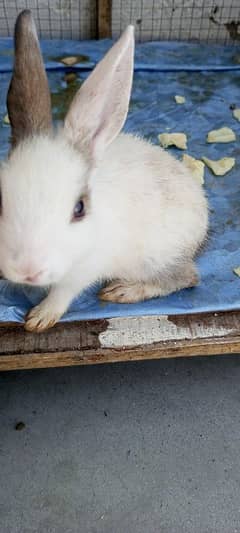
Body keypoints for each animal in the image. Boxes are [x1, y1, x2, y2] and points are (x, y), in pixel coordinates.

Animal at [0, 10, 207, 330]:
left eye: (80, 209)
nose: (27, 270)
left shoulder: (85, 269)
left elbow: (64, 292)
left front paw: (39, 318)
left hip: (155, 258)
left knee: (186, 277)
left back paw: (123, 290)